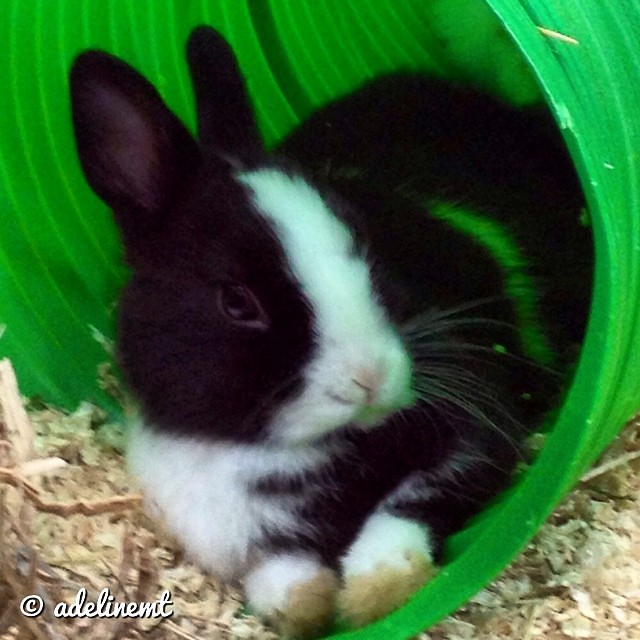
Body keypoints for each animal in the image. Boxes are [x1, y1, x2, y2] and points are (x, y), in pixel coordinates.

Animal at [69, 25, 592, 638]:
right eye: (236, 301)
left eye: (364, 243)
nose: (371, 378)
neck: (278, 450)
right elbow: (280, 580)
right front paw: (310, 607)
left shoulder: (472, 436)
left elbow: (405, 508)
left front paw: (373, 595)